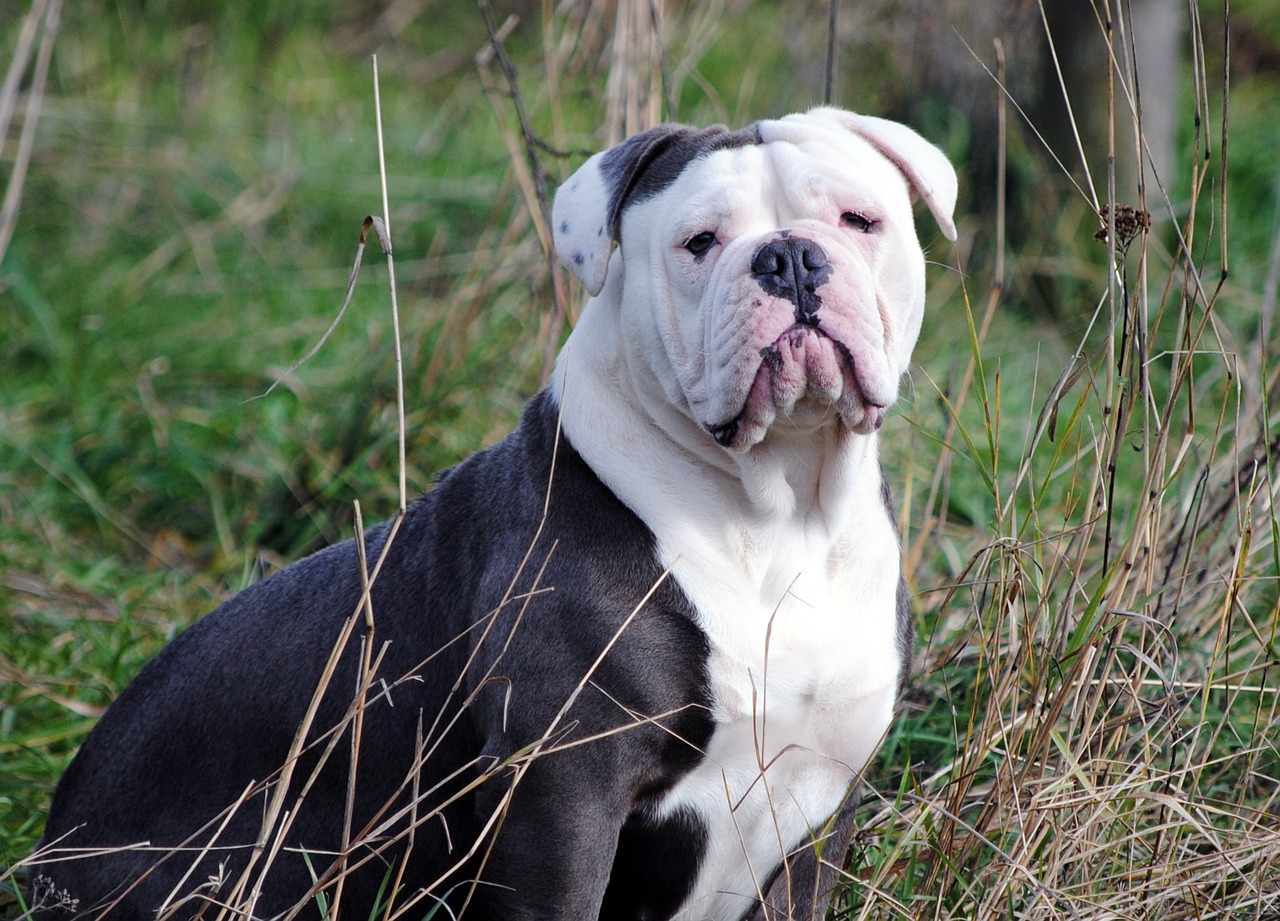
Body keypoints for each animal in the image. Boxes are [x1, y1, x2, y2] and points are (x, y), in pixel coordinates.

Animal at [30, 110, 957, 921]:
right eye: (700, 242)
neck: (777, 511)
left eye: (860, 219)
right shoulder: (561, 795)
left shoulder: (817, 804)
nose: (791, 256)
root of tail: (48, 849)